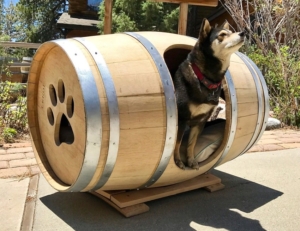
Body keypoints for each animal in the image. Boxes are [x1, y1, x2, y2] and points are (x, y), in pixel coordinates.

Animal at [172, 18, 245, 170]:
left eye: (231, 31)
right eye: (222, 35)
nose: (243, 33)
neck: (204, 78)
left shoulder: (201, 120)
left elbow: (191, 144)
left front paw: (191, 161)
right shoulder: (182, 118)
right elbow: (177, 142)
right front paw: (177, 162)